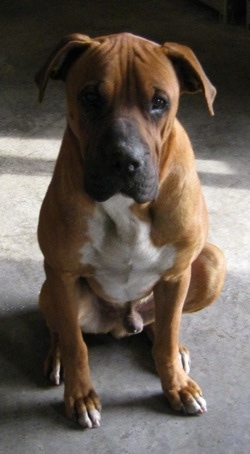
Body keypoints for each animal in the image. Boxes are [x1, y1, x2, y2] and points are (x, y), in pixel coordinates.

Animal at [36, 32, 226, 430]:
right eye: (90, 97)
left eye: (159, 102)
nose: (124, 160)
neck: (128, 206)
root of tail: (124, 323)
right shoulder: (62, 274)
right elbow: (77, 346)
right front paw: (80, 396)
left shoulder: (177, 275)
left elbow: (167, 335)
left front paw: (176, 386)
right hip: (51, 289)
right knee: (62, 330)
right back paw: (58, 356)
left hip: (210, 264)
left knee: (163, 325)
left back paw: (172, 349)